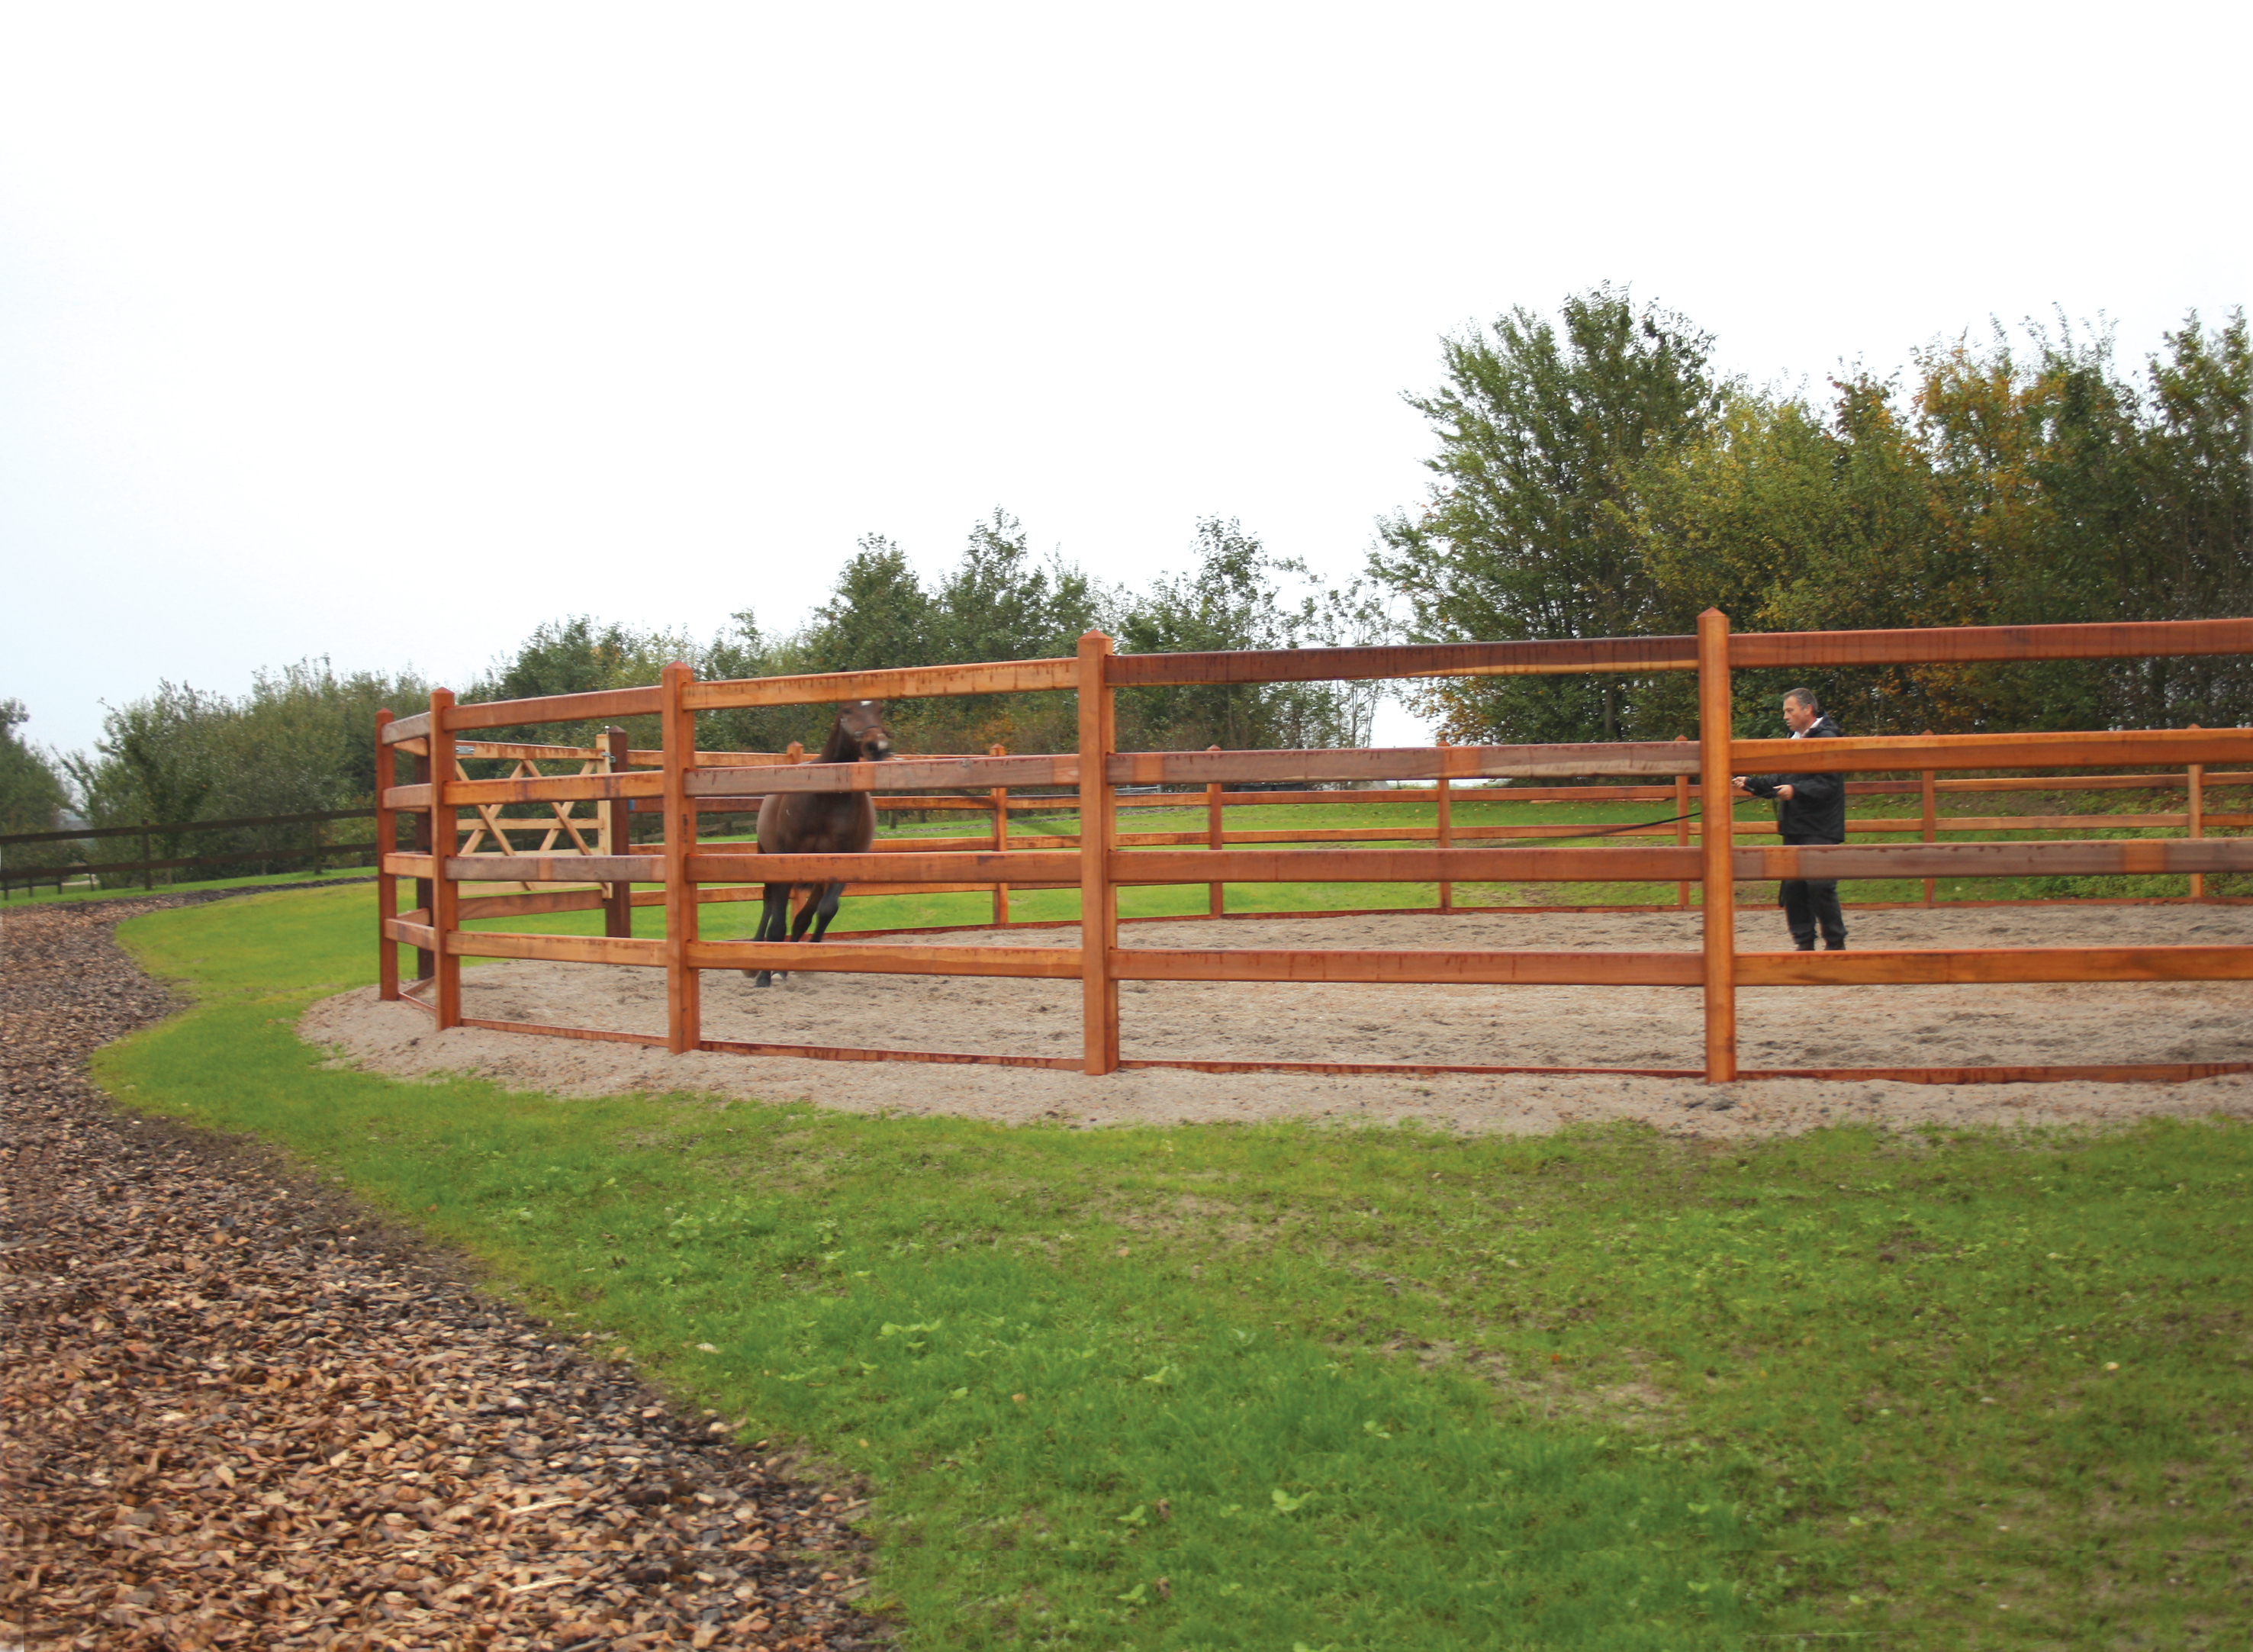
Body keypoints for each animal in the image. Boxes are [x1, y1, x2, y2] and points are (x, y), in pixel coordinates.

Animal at [743, 694, 892, 977]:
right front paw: (766, 973)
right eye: (846, 710)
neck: (826, 798)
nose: (877, 745)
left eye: (880, 709)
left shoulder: (844, 860)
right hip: (765, 855)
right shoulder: (786, 858)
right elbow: (777, 921)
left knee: (804, 915)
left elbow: (824, 911)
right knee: (768, 903)